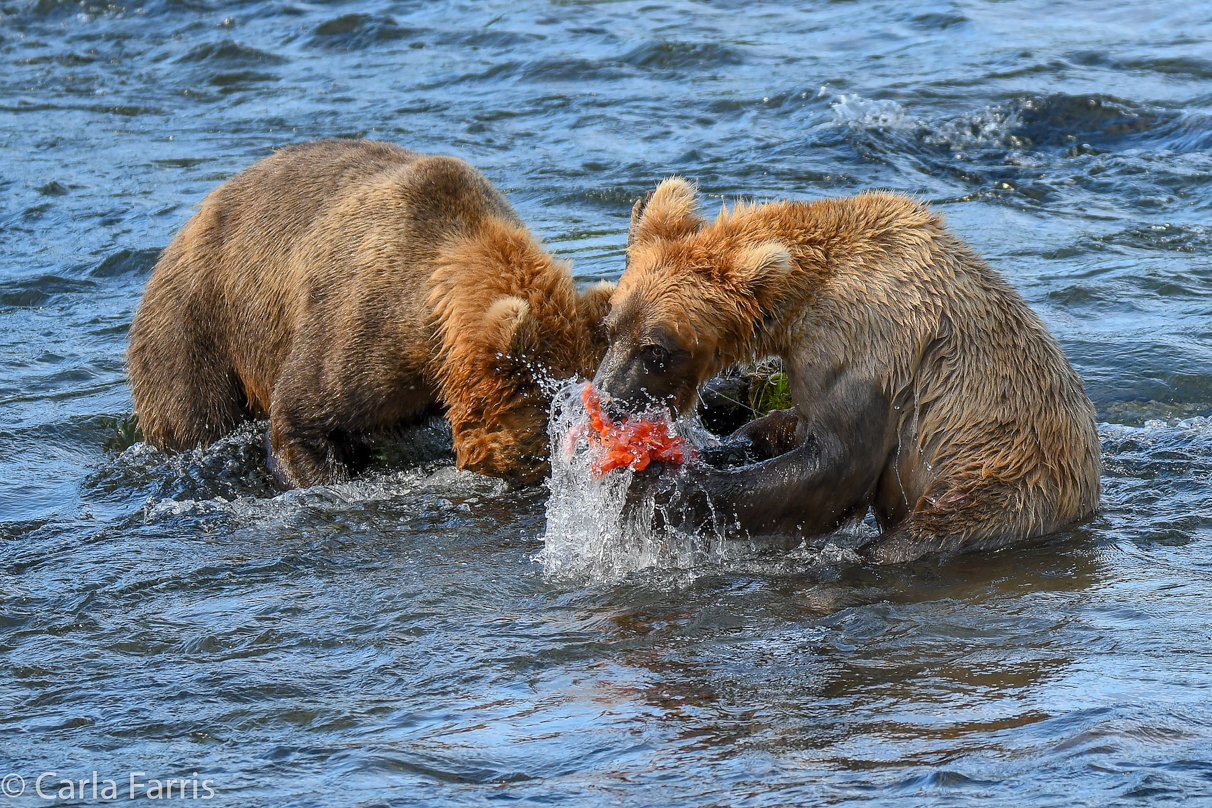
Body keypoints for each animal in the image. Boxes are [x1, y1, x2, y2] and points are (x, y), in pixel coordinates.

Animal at [591, 180, 1105, 566]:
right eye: (609, 329)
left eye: (656, 350)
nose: (606, 402)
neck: (798, 306)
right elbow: (788, 428)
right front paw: (715, 450)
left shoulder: (863, 352)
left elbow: (835, 467)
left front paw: (656, 487)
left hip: (999, 494)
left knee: (905, 542)